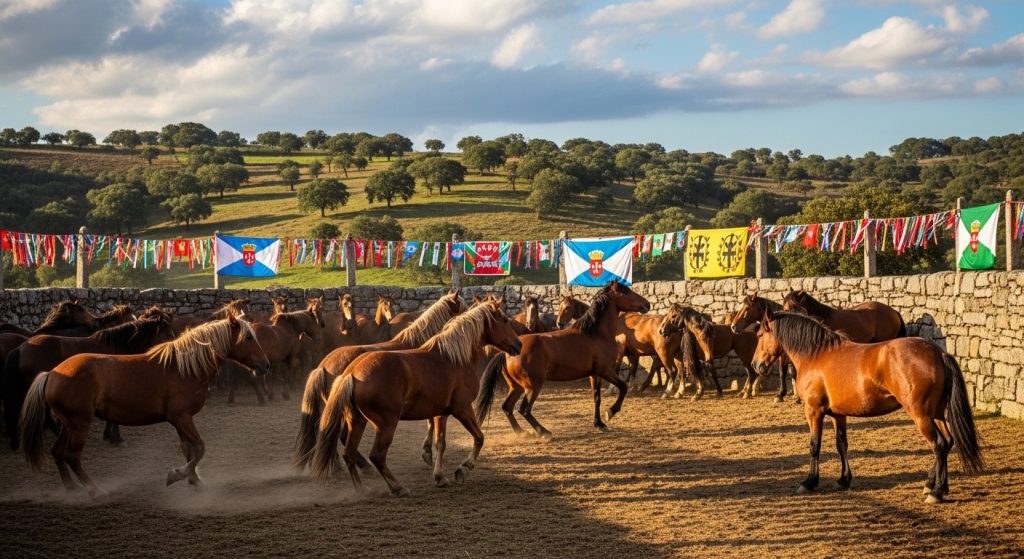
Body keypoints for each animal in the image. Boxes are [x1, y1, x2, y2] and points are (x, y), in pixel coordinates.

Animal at [310, 300, 522, 496]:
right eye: (504, 319)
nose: (519, 344)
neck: (453, 357)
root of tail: (352, 373)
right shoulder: (462, 409)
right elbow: (479, 437)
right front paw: (463, 469)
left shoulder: (440, 414)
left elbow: (440, 443)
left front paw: (439, 476)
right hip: (386, 424)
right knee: (377, 456)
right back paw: (398, 487)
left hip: (357, 421)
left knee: (349, 453)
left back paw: (362, 489)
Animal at [478, 281, 651, 438]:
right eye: (626, 291)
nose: (647, 304)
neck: (595, 334)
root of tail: (507, 352)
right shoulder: (605, 370)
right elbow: (623, 387)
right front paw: (611, 412)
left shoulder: (594, 374)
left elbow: (597, 397)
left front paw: (599, 423)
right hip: (533, 385)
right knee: (524, 410)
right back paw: (544, 432)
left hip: (517, 387)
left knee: (507, 407)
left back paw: (522, 433)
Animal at [751, 308, 983, 503]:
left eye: (760, 335)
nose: (755, 365)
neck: (816, 354)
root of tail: (938, 353)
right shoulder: (838, 415)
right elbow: (841, 445)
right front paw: (843, 480)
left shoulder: (814, 411)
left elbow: (814, 446)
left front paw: (809, 482)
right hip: (936, 414)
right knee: (948, 442)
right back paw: (933, 485)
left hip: (921, 415)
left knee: (939, 445)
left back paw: (936, 492)